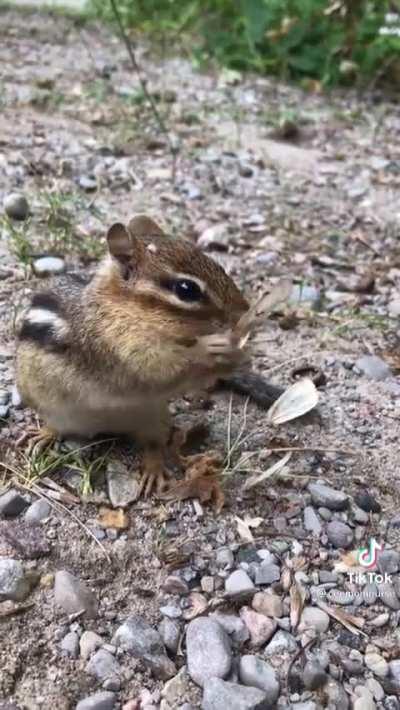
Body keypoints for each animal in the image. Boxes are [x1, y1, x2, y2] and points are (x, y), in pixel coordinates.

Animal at [16, 215, 283, 497]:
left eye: (219, 266)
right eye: (186, 289)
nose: (244, 309)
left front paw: (238, 353)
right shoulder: (120, 352)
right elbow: (163, 370)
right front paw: (214, 349)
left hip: (153, 417)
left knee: (154, 445)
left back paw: (153, 470)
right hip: (52, 408)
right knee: (56, 426)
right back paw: (44, 434)